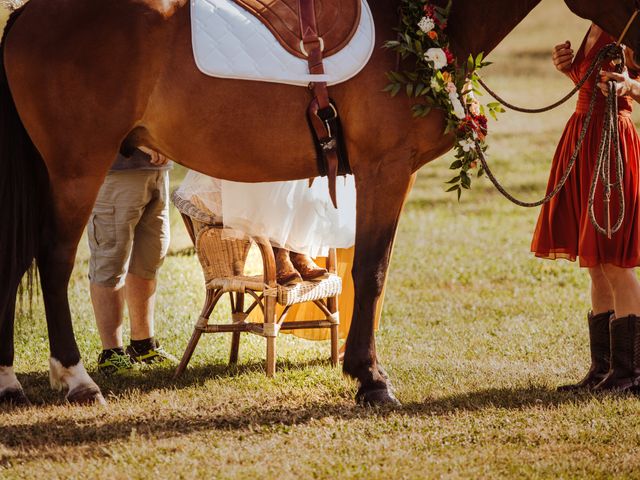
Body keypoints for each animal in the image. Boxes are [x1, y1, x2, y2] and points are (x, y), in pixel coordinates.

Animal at [0, 0, 636, 406]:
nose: (624, 62)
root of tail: (24, 14)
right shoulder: (385, 172)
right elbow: (372, 271)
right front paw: (370, 379)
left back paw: (10, 381)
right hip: (77, 170)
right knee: (53, 261)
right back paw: (76, 378)